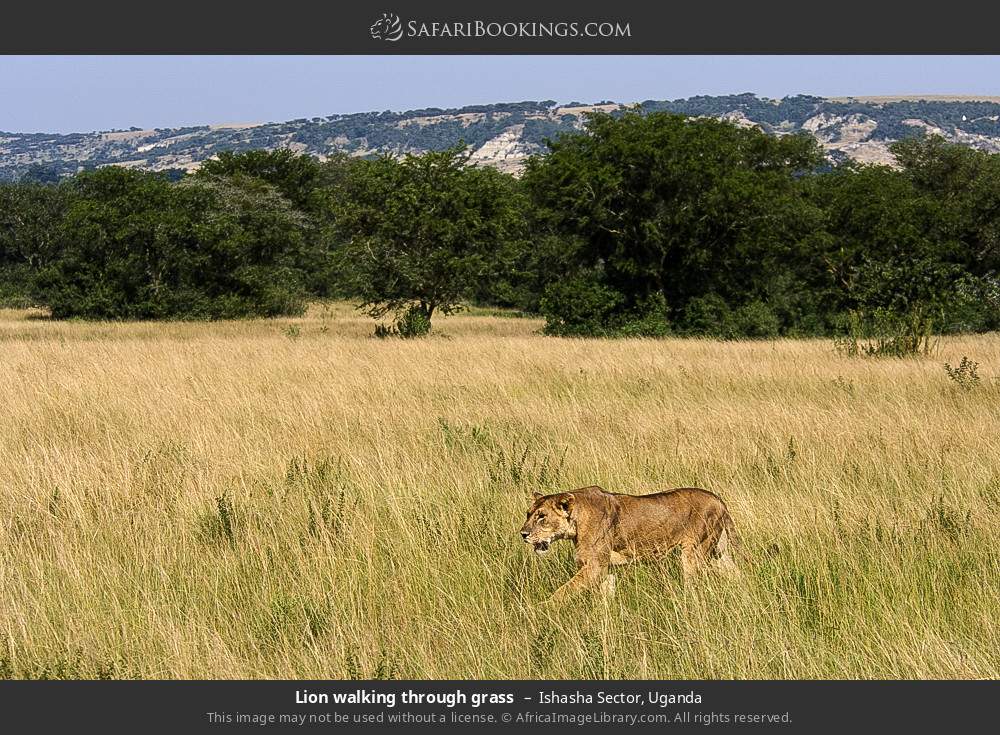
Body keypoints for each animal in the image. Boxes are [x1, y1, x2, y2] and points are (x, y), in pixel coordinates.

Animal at [520, 486, 740, 600]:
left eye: (542, 517)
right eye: (528, 514)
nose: (523, 534)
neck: (577, 522)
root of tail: (719, 500)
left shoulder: (594, 566)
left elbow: (562, 592)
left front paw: (542, 611)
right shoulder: (606, 568)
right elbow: (606, 597)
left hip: (694, 551)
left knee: (693, 582)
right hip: (719, 553)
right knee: (735, 572)